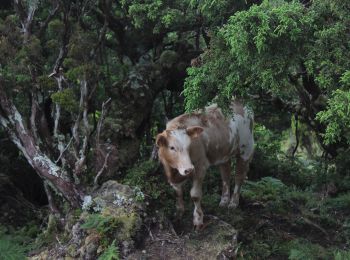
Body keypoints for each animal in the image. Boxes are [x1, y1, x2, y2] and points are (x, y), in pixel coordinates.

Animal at [156, 100, 254, 229]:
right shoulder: (172, 174)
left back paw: (233, 203)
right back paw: (224, 201)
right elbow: (178, 193)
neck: (173, 171)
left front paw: (198, 220)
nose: (189, 169)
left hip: (246, 149)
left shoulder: (200, 166)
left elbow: (195, 194)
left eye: (189, 145)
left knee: (239, 176)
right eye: (172, 147)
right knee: (225, 174)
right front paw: (178, 214)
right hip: (224, 152)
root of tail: (238, 100)